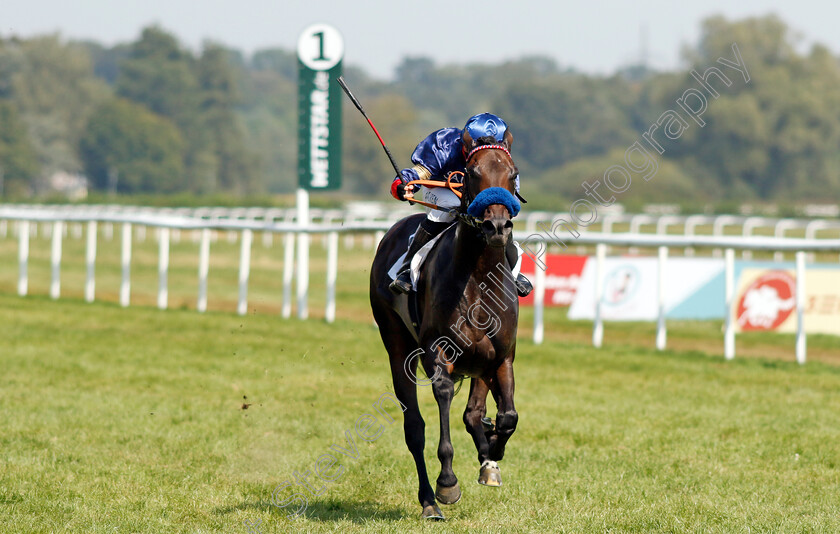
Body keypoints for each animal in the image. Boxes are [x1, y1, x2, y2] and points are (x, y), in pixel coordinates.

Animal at [372, 131, 520, 524]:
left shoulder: (500, 357)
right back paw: (429, 500)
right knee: (415, 429)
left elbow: (507, 417)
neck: (479, 278)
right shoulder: (439, 353)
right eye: (471, 173)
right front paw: (448, 483)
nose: (497, 227)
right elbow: (442, 400)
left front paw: (492, 454)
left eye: (513, 173)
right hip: (396, 345)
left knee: (474, 413)